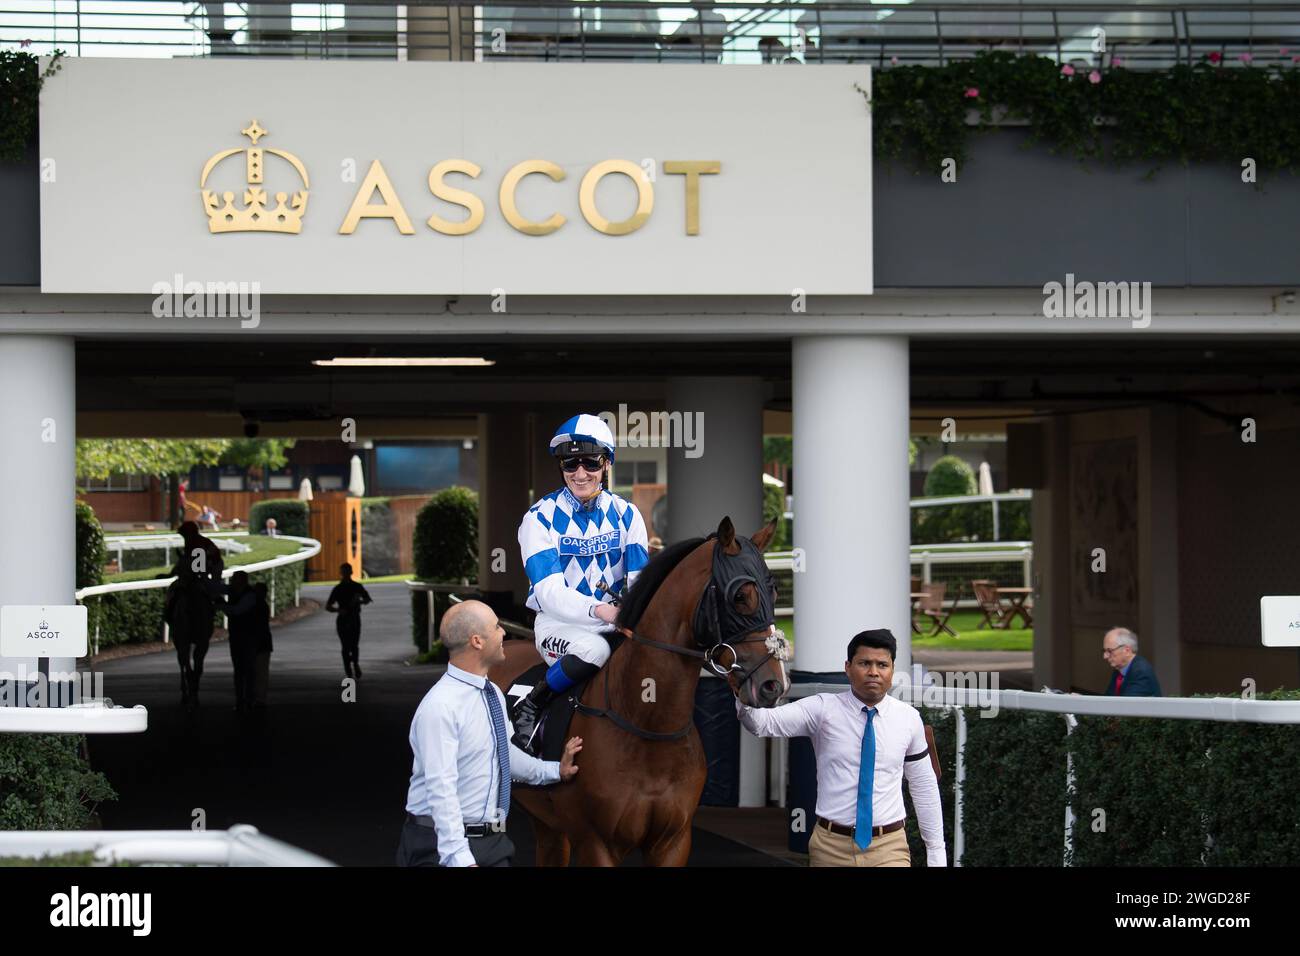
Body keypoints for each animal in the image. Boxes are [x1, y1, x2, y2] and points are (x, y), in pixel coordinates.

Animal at [488, 515, 785, 868]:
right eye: (740, 596)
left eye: (774, 592)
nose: (772, 685)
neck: (646, 725)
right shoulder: (594, 843)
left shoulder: (673, 842)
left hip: (547, 822)